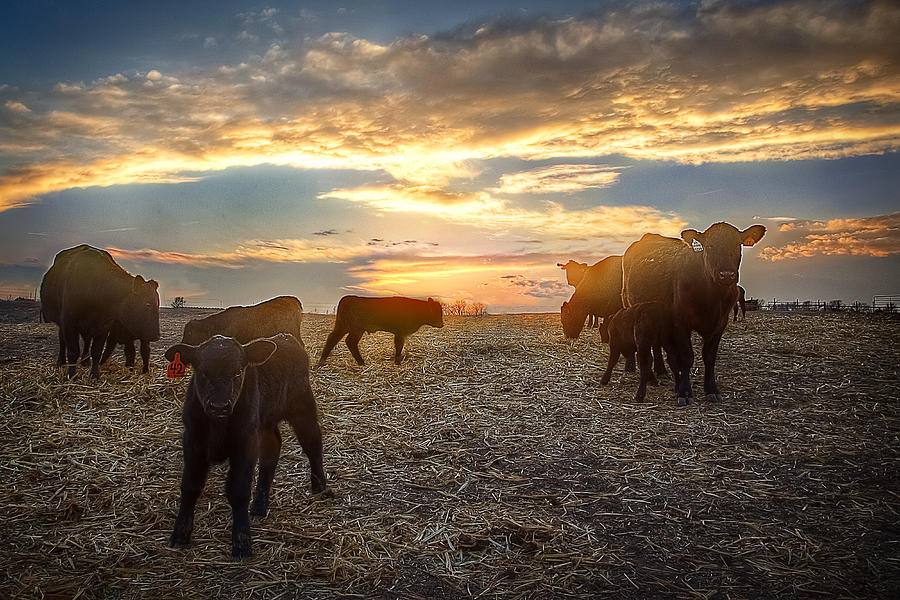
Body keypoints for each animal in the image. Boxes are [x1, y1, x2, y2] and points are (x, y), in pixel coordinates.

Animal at [40, 245, 160, 380]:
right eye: (147, 304)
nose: (157, 335)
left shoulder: (104, 326)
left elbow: (96, 351)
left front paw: (94, 374)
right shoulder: (69, 322)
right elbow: (73, 351)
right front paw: (71, 375)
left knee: (88, 342)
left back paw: (85, 362)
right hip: (63, 323)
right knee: (62, 340)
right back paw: (61, 362)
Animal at [165, 332, 326, 556]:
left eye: (238, 372)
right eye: (203, 372)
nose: (219, 406)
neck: (219, 425)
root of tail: (286, 337)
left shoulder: (245, 444)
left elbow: (239, 491)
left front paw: (242, 542)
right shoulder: (192, 442)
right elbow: (190, 487)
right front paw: (180, 534)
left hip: (302, 407)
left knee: (313, 443)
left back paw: (320, 486)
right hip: (266, 421)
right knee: (273, 449)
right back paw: (259, 505)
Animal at [624, 225, 768, 408]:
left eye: (737, 245)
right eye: (710, 246)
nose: (726, 274)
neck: (712, 296)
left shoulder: (720, 324)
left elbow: (709, 357)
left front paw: (711, 389)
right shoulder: (680, 322)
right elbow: (687, 357)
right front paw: (685, 392)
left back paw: (661, 371)